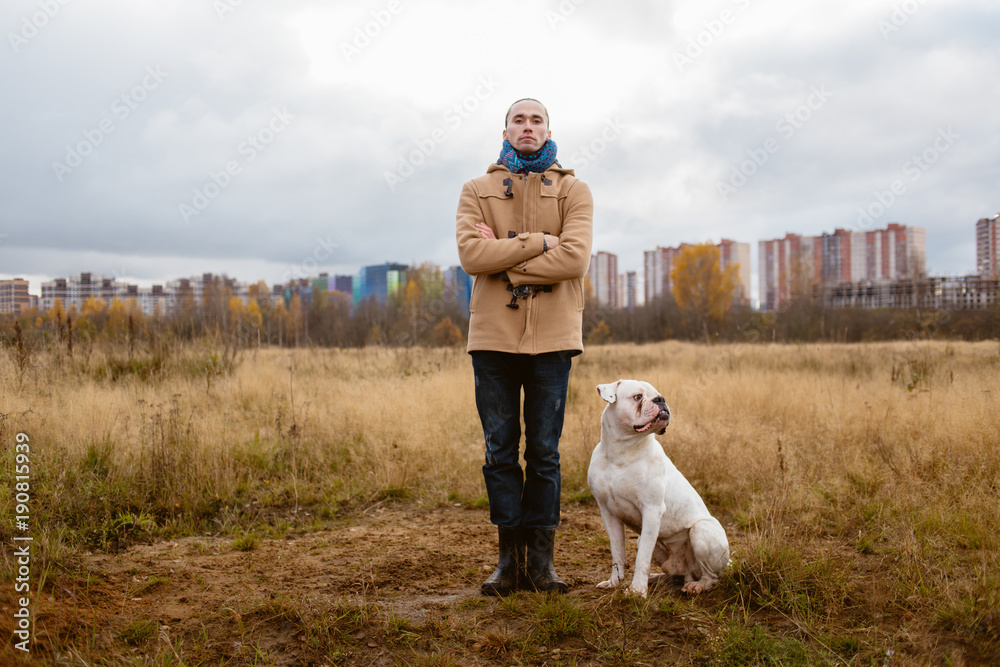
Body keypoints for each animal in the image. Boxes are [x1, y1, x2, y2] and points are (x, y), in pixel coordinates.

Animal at [588, 378, 732, 596]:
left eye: (658, 395)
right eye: (637, 397)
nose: (661, 400)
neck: (621, 452)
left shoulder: (651, 511)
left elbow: (642, 558)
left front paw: (637, 591)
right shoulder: (608, 513)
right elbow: (617, 553)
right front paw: (614, 582)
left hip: (701, 531)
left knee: (711, 577)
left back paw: (697, 585)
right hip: (648, 542)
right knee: (675, 574)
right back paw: (656, 578)